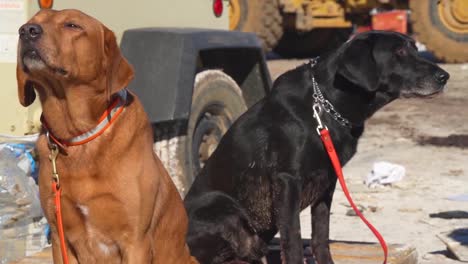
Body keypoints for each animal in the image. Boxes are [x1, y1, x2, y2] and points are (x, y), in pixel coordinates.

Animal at [16, 9, 197, 262]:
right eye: (32, 22)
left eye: (73, 25)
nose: (26, 31)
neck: (78, 136)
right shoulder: (59, 236)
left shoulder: (135, 242)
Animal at [184, 31, 450, 264]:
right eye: (399, 52)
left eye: (414, 48)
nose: (444, 76)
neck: (326, 106)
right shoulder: (287, 181)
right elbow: (293, 240)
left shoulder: (328, 181)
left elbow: (320, 236)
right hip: (222, 207)